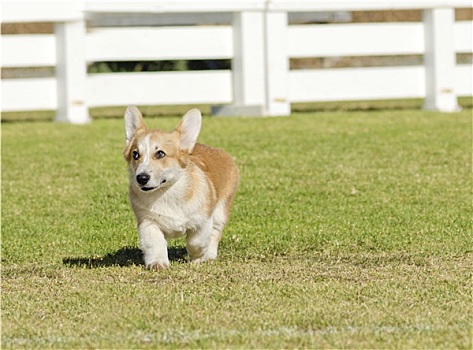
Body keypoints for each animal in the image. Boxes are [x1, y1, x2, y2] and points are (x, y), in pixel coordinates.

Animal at [123, 105, 238, 270]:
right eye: (135, 155)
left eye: (160, 154)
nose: (141, 178)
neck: (166, 192)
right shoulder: (148, 222)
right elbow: (155, 243)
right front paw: (157, 263)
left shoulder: (203, 221)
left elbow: (196, 241)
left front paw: (199, 257)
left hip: (220, 211)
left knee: (215, 233)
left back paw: (209, 255)